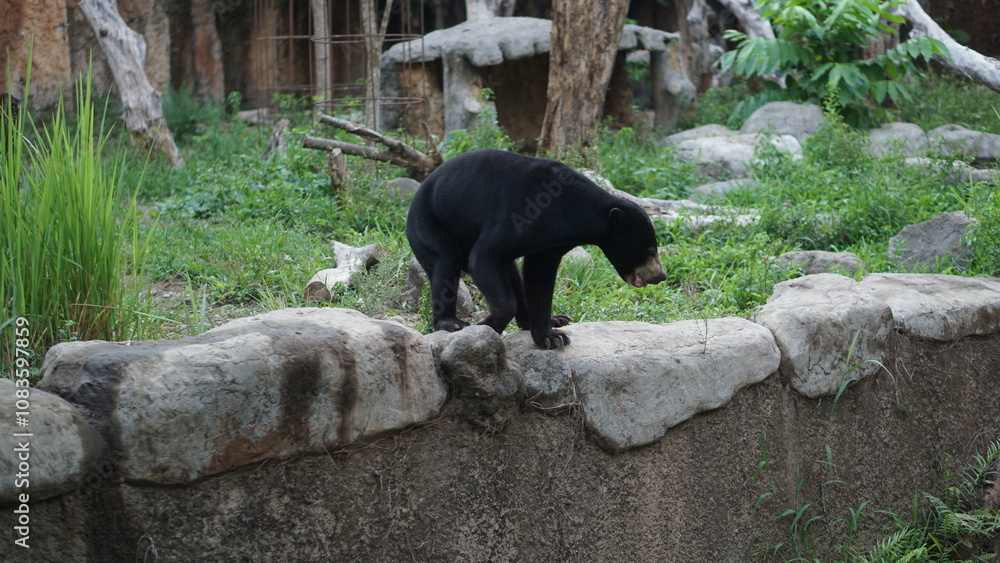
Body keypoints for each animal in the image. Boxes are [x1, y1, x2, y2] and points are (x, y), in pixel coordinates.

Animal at [406, 149, 666, 349]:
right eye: (649, 250)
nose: (660, 275)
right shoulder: (521, 216)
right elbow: (484, 255)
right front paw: (484, 325)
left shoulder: (551, 244)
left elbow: (539, 278)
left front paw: (551, 337)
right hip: (429, 225)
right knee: (445, 263)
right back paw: (451, 323)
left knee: (511, 275)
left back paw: (551, 320)